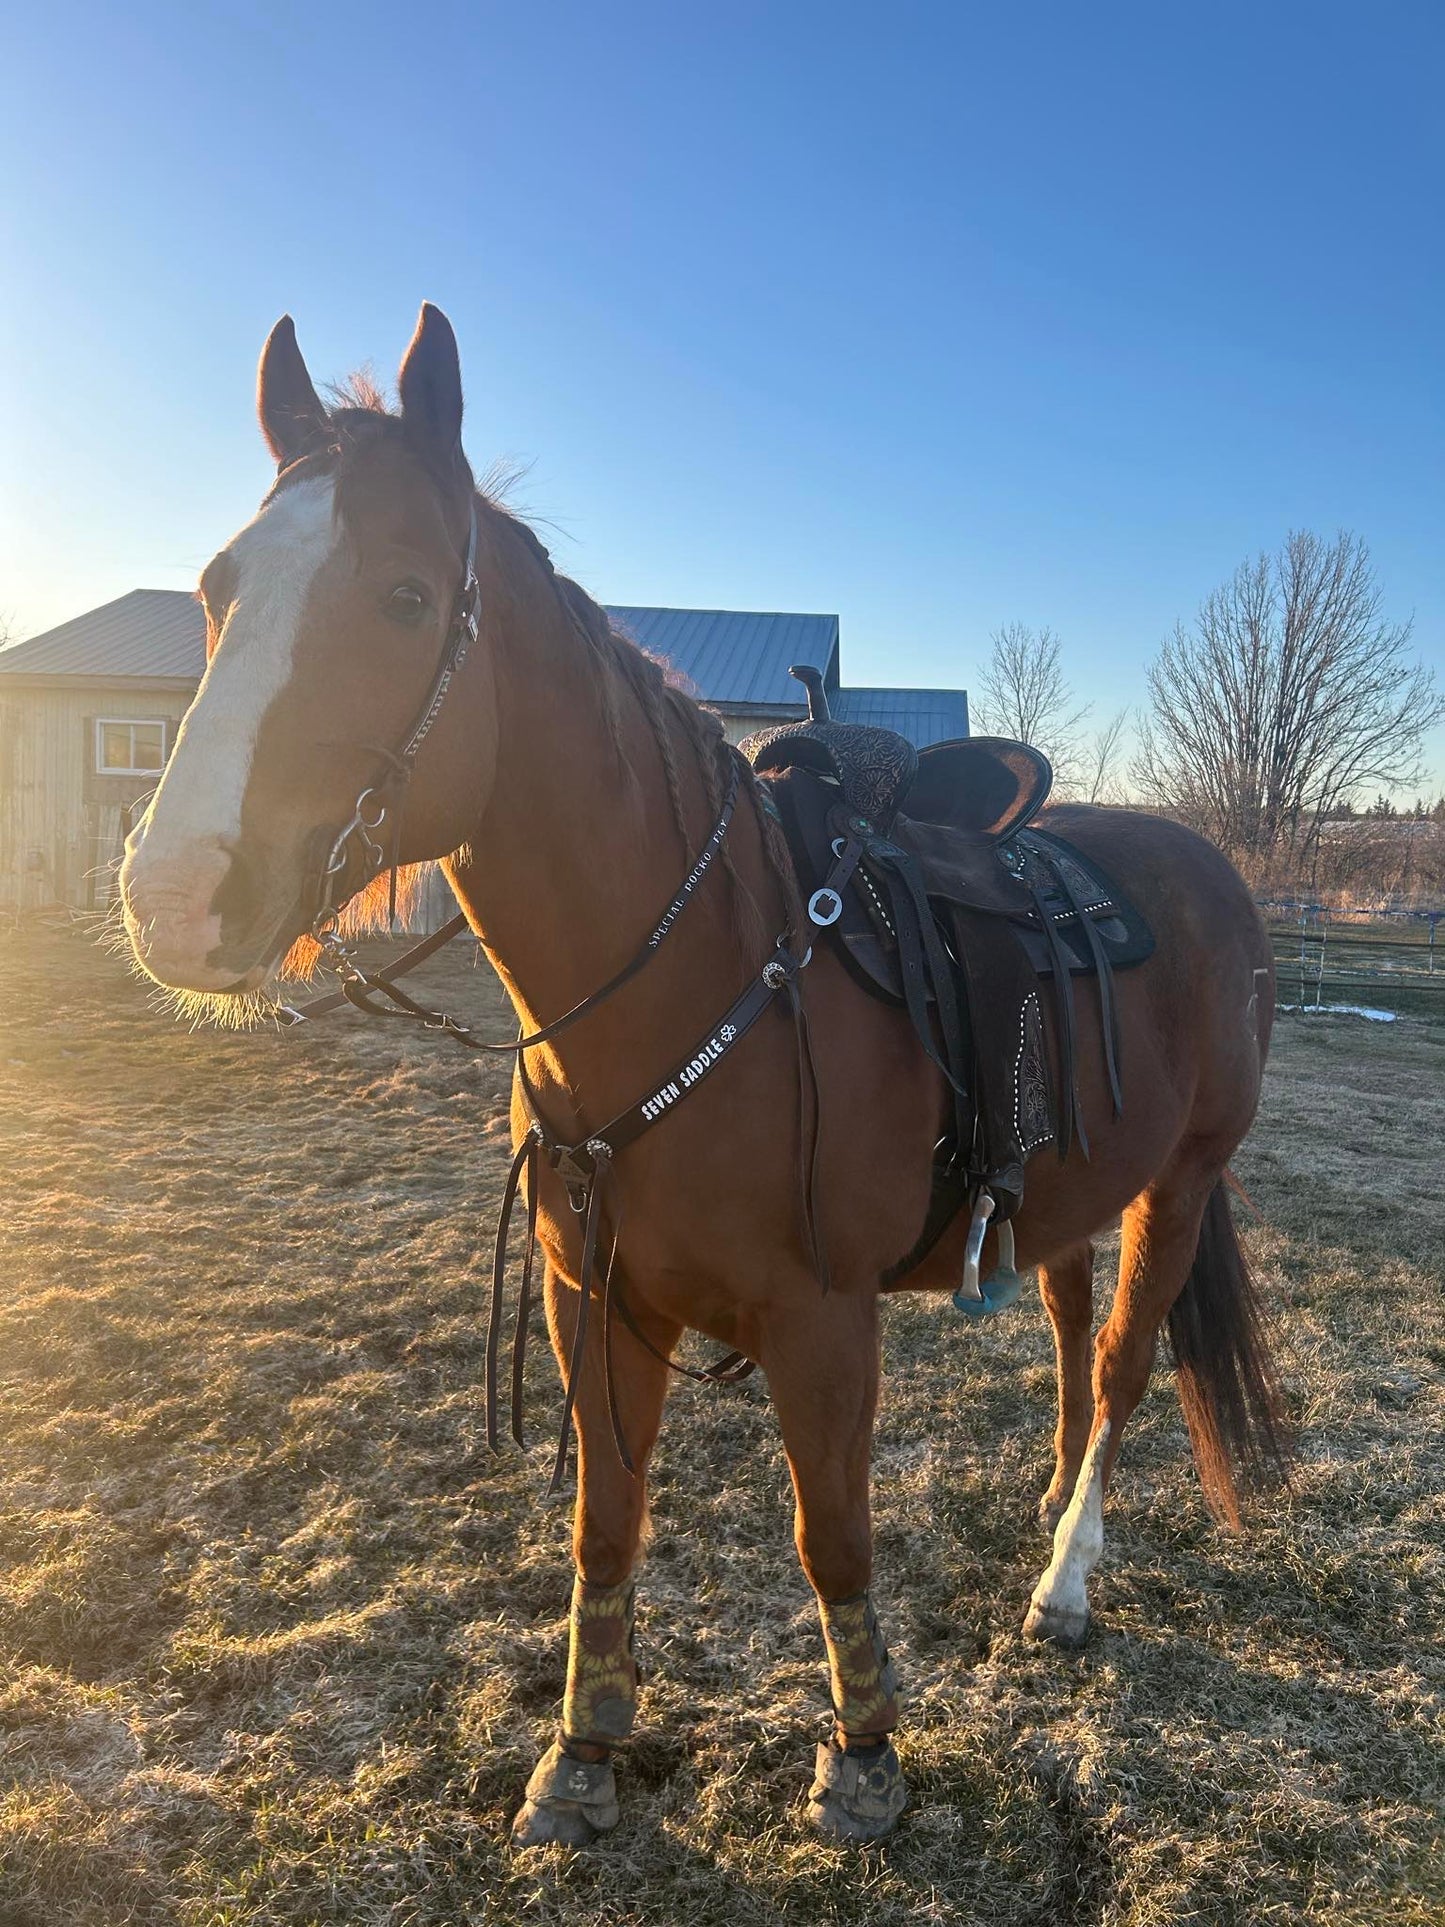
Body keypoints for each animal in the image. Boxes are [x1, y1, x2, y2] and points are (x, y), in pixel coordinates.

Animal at [118, 308, 1287, 1842]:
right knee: (1069, 1339)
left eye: (407, 596)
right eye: (216, 589)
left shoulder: (819, 1321)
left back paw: (1065, 1585)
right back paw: (1046, 1515)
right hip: (1071, 1196)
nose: (175, 899)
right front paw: (581, 1751)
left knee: (1125, 1362)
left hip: (1183, 1180)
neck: (698, 974)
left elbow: (829, 1532)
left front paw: (864, 1757)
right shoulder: (596, 1301)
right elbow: (604, 1522)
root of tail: (1208, 869)